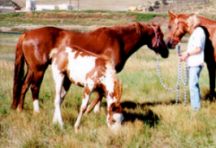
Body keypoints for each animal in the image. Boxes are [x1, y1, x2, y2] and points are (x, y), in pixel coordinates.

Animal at [12, 22, 169, 112]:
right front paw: (90, 110)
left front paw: (95, 110)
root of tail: (26, 34)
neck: (118, 40)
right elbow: (101, 93)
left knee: (23, 85)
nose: (166, 52)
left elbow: (100, 93)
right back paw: (36, 111)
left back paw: (20, 109)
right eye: (160, 35)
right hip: (39, 69)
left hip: (31, 69)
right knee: (34, 87)